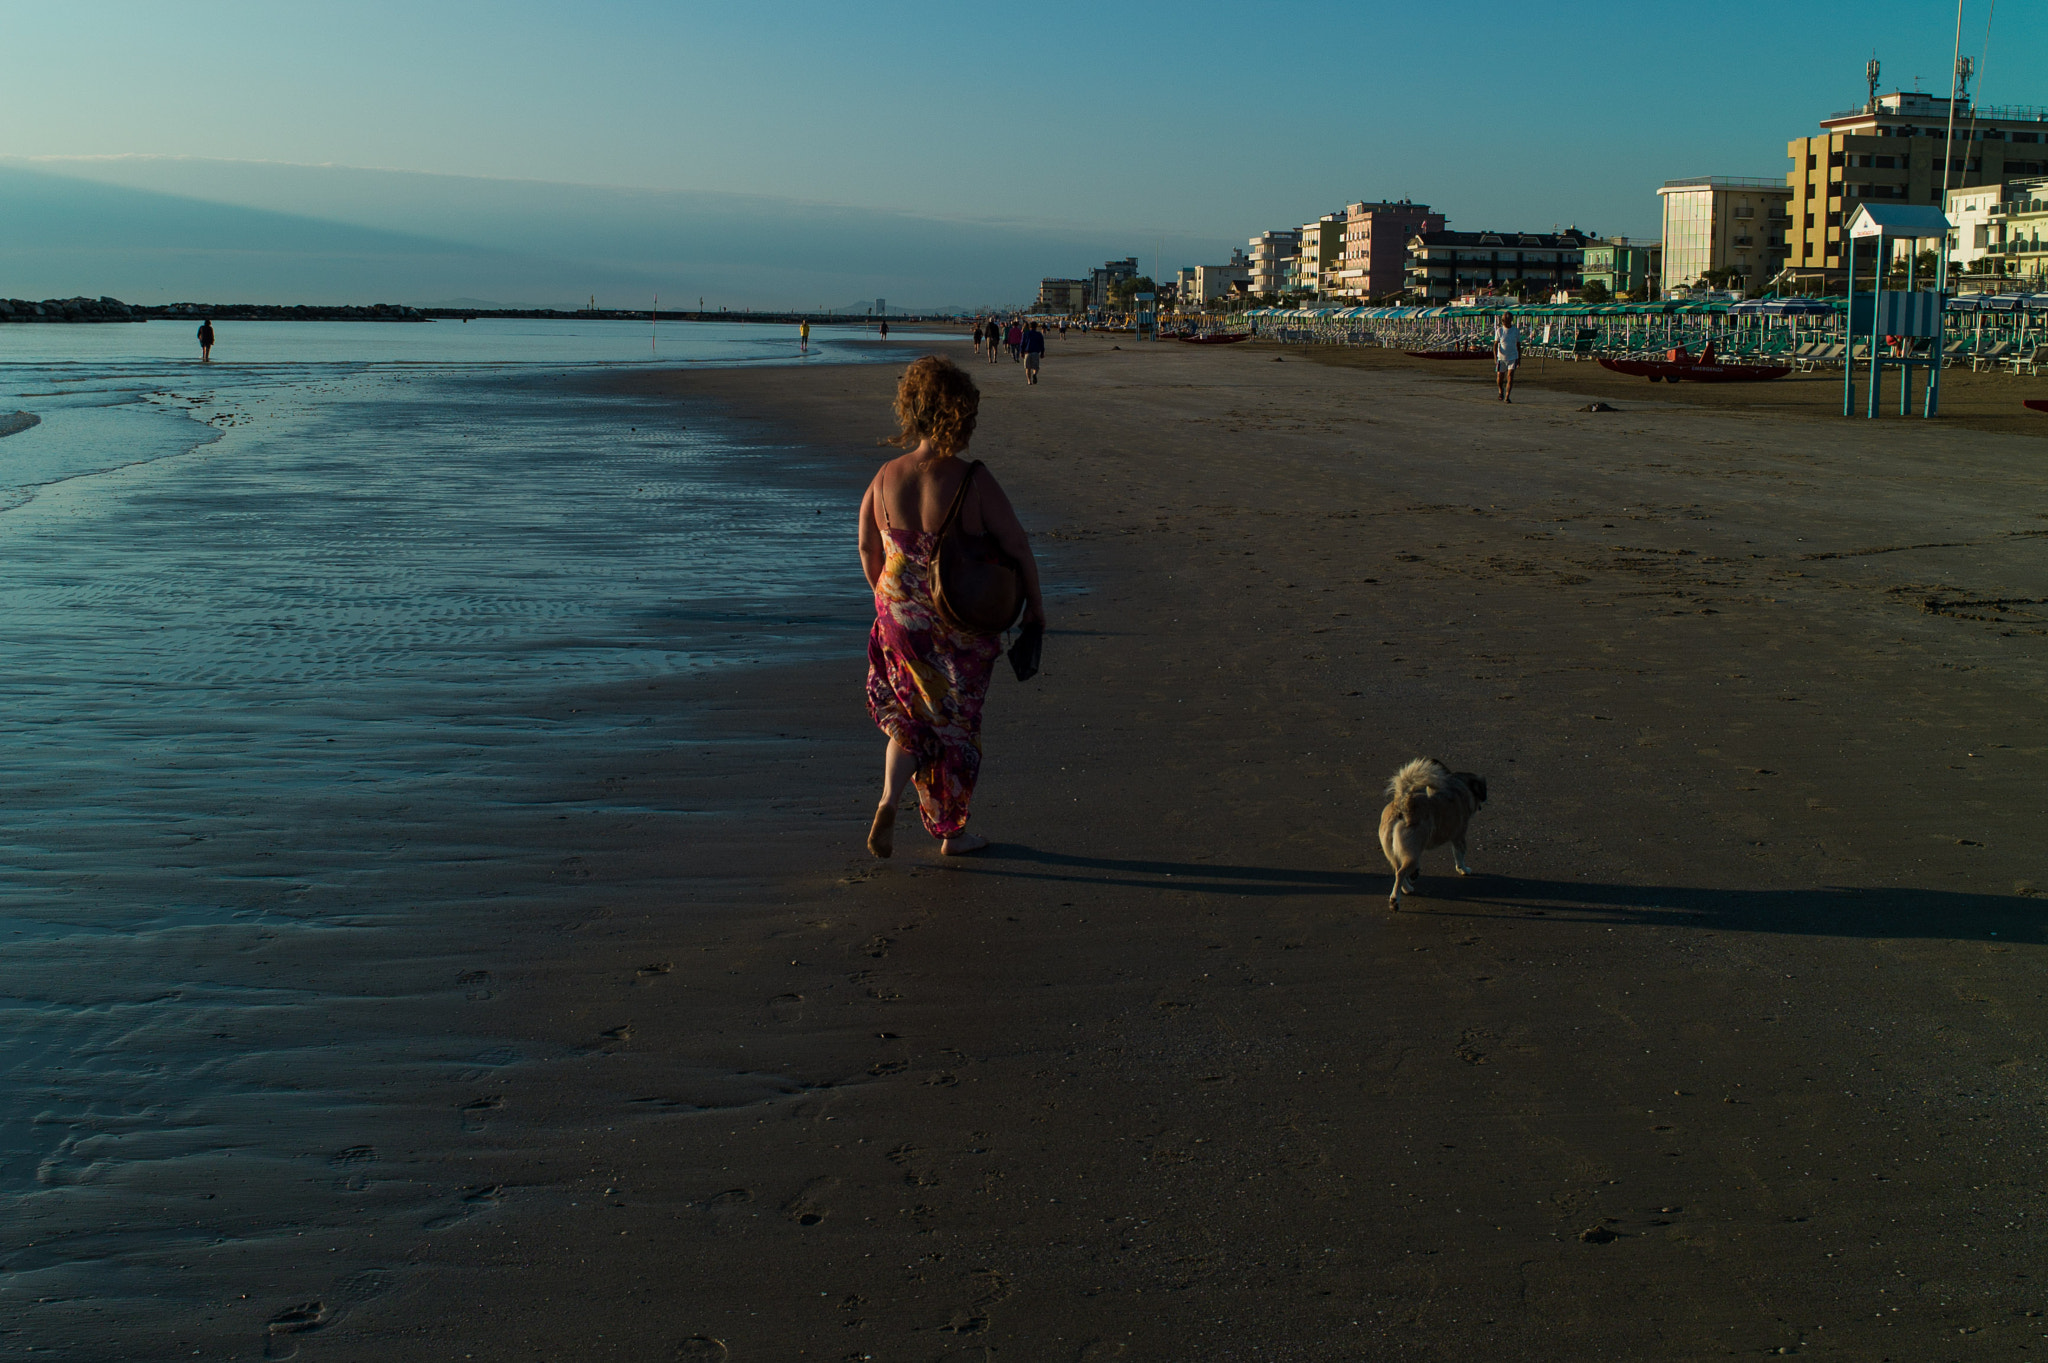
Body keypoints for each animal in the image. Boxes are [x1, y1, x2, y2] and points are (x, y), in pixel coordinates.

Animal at [1376, 757, 1490, 908]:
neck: (1458, 788)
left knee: (1397, 869)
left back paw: (1407, 888)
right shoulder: (1459, 837)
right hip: (1412, 852)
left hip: (1395, 851)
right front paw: (1463, 870)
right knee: (1400, 873)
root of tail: (1402, 802)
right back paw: (1395, 900)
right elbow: (1460, 855)